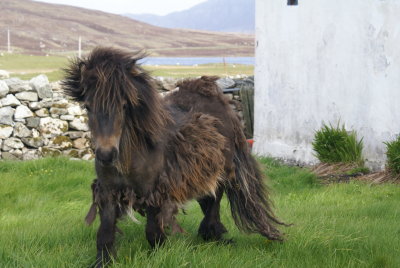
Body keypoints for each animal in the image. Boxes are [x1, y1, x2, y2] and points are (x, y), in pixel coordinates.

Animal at [62, 47, 286, 266]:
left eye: (125, 106)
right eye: (87, 106)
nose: (106, 154)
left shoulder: (154, 192)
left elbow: (153, 232)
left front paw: (159, 254)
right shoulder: (108, 192)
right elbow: (105, 234)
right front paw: (103, 262)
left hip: (220, 173)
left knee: (214, 202)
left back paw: (211, 234)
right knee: (207, 201)